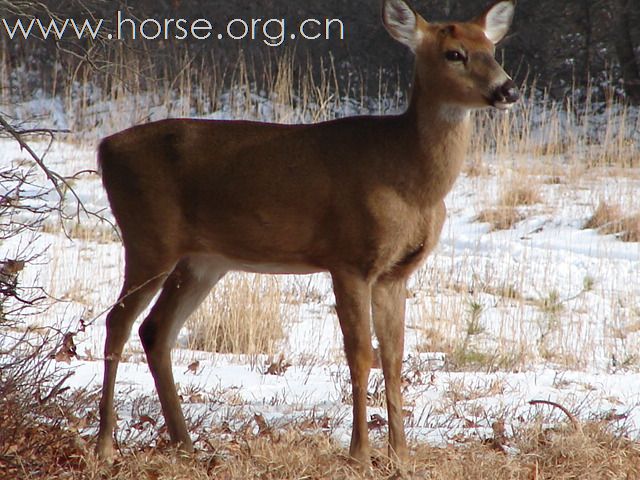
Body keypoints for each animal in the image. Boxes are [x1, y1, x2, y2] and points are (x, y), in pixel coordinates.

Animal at [96, 0, 520, 464]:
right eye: (454, 54)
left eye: (491, 48)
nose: (507, 90)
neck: (408, 177)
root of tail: (104, 147)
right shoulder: (348, 259)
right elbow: (360, 355)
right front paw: (359, 455)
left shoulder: (396, 272)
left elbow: (394, 357)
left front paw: (401, 457)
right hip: (148, 237)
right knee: (117, 320)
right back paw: (105, 445)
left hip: (203, 260)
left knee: (155, 330)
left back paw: (186, 444)